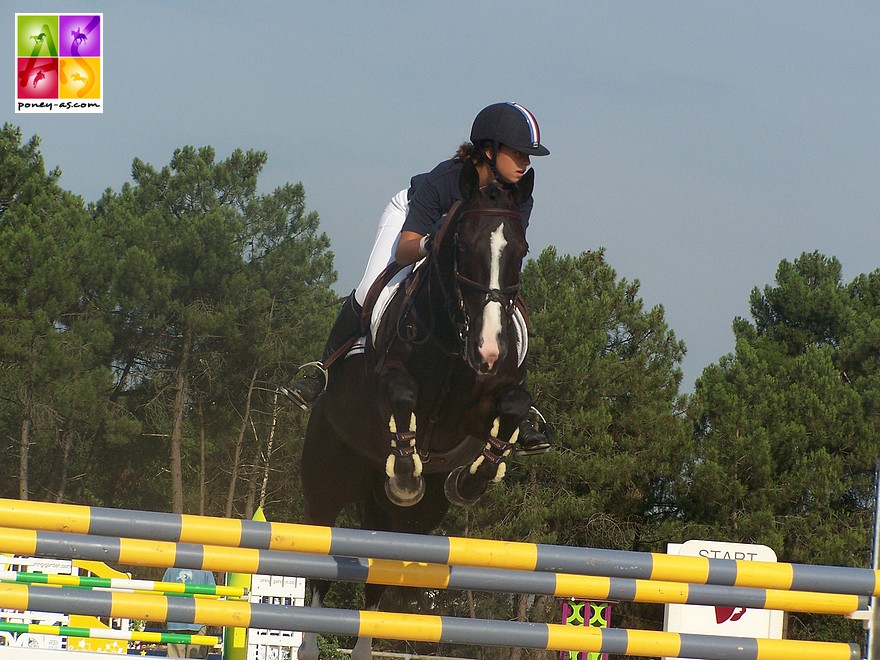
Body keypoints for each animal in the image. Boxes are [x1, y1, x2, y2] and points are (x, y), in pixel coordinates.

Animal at [300, 161, 536, 660]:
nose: (488, 349)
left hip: (407, 520)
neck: (453, 335)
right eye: (463, 246)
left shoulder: (483, 405)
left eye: (521, 249)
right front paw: (407, 472)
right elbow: (404, 398)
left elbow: (513, 405)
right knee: (318, 574)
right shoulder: (388, 384)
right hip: (326, 481)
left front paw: (471, 479)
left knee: (378, 577)